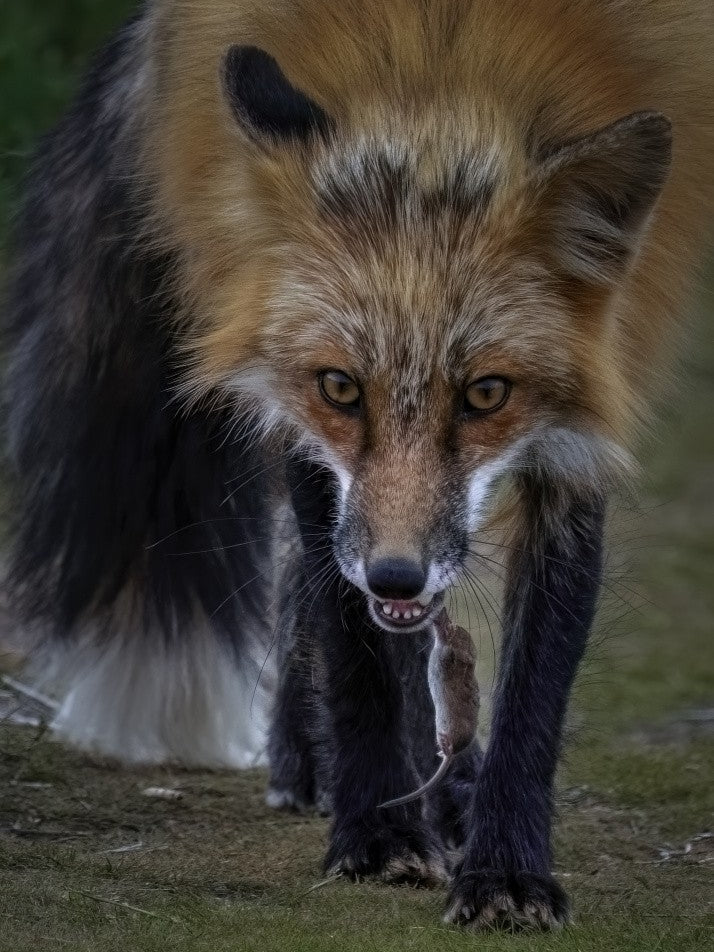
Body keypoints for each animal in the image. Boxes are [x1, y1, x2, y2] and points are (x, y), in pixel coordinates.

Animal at [3, 0, 713, 931]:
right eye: (341, 386)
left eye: (487, 394)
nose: (398, 575)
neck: (445, 71)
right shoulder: (307, 424)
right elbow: (359, 643)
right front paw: (378, 829)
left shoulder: (581, 424)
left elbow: (538, 678)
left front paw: (506, 866)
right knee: (312, 583)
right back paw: (327, 767)